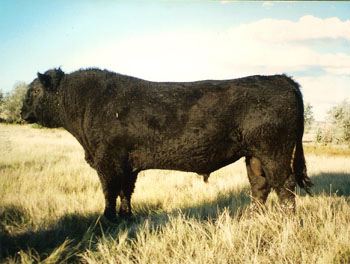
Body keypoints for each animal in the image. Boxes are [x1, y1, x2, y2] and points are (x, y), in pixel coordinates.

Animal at [20, 68, 314, 221]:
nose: (21, 112)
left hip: (274, 151)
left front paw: (107, 221)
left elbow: (109, 192)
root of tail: (281, 78)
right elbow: (125, 192)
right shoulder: (127, 165)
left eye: (34, 91)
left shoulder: (108, 162)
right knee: (260, 185)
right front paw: (127, 218)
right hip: (254, 155)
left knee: (284, 185)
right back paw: (253, 219)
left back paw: (287, 222)